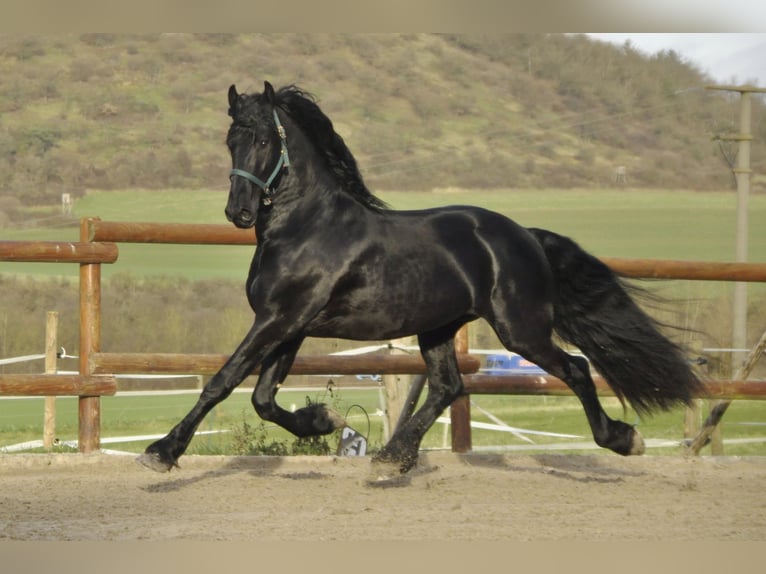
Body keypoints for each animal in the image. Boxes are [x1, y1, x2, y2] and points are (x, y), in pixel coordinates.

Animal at [140, 82, 708, 476]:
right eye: (229, 141)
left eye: (262, 138)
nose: (237, 212)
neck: (306, 225)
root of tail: (524, 235)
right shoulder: (289, 323)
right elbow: (262, 397)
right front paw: (325, 422)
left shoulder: (281, 318)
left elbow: (223, 380)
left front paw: (162, 452)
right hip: (438, 326)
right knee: (449, 385)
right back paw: (393, 457)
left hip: (519, 329)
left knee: (574, 369)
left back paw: (622, 439)